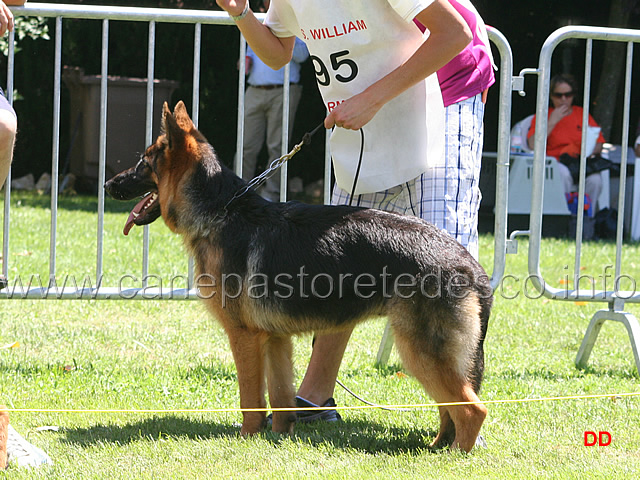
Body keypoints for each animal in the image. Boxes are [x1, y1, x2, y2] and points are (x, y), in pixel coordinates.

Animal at [106, 102, 496, 454]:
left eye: (143, 162)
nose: (109, 184)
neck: (221, 211)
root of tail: (469, 263)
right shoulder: (276, 339)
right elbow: (280, 397)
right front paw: (279, 435)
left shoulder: (244, 336)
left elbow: (250, 397)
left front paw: (248, 437)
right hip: (427, 353)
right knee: (450, 406)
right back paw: (438, 445)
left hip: (420, 350)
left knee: (472, 409)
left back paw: (457, 454)